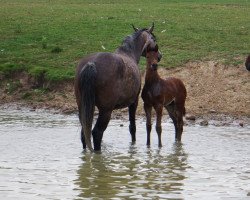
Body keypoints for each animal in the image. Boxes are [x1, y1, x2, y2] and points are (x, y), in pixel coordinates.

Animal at [74, 23, 161, 152]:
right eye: (154, 39)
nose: (160, 56)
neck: (129, 53)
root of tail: (91, 64)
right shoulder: (134, 102)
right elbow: (132, 127)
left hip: (83, 108)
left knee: (84, 134)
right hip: (106, 111)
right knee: (97, 133)